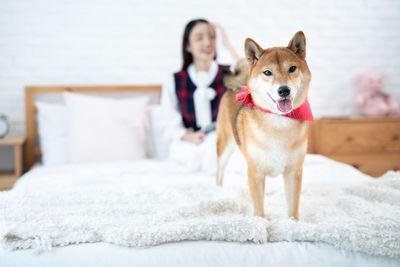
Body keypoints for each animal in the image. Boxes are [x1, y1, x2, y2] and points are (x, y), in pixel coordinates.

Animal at [216, 31, 312, 221]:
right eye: (267, 72)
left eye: (292, 68)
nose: (284, 90)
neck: (279, 123)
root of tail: (238, 86)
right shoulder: (255, 172)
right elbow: (259, 209)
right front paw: (260, 224)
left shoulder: (293, 171)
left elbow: (293, 208)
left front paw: (294, 224)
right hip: (225, 145)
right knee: (219, 172)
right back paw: (218, 192)